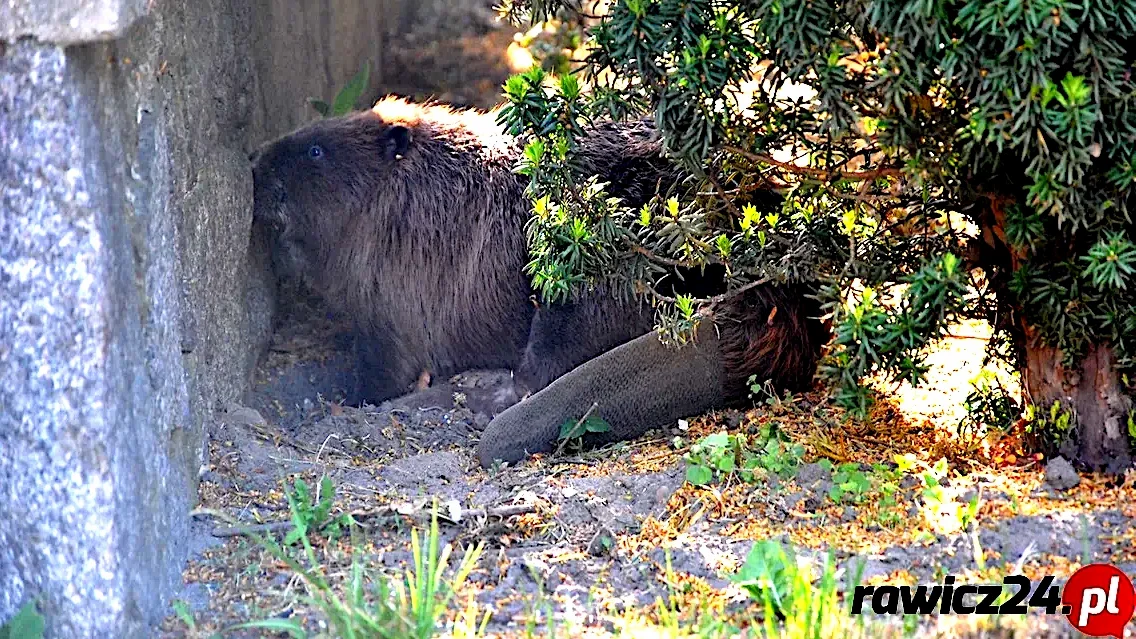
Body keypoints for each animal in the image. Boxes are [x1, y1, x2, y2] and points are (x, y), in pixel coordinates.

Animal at [253, 99, 831, 466]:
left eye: (315, 151)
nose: (257, 164)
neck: (418, 188)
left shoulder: (390, 291)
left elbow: (384, 368)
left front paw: (347, 402)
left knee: (538, 371)